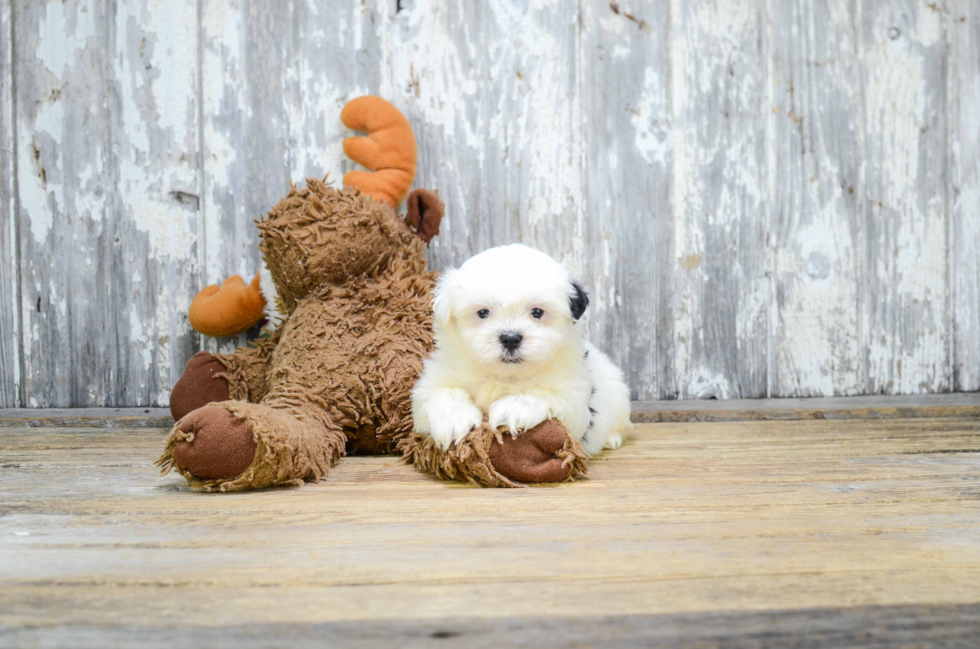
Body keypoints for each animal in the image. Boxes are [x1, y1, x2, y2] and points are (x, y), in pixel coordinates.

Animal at [412, 243, 628, 456]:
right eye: (483, 312)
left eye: (537, 312)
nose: (510, 338)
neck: (506, 375)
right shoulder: (432, 383)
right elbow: (440, 393)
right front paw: (455, 418)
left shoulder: (574, 395)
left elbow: (545, 394)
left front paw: (514, 407)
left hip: (617, 394)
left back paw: (612, 438)